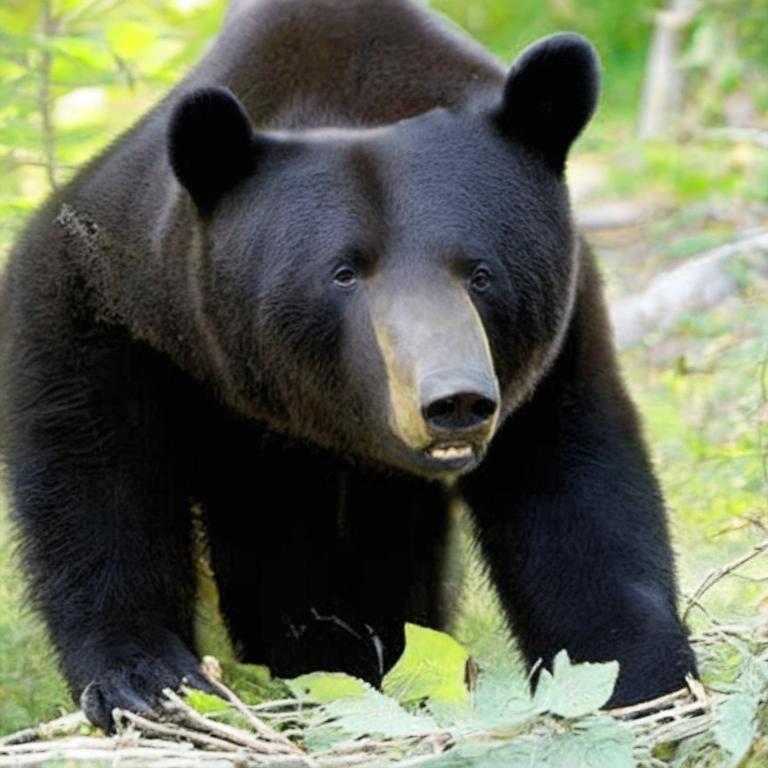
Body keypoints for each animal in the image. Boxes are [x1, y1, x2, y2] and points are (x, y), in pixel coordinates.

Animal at [1, 0, 696, 731]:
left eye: (480, 273)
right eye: (344, 273)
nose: (454, 401)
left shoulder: (553, 349)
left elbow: (579, 503)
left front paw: (640, 679)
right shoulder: (124, 301)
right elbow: (96, 473)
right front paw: (145, 680)